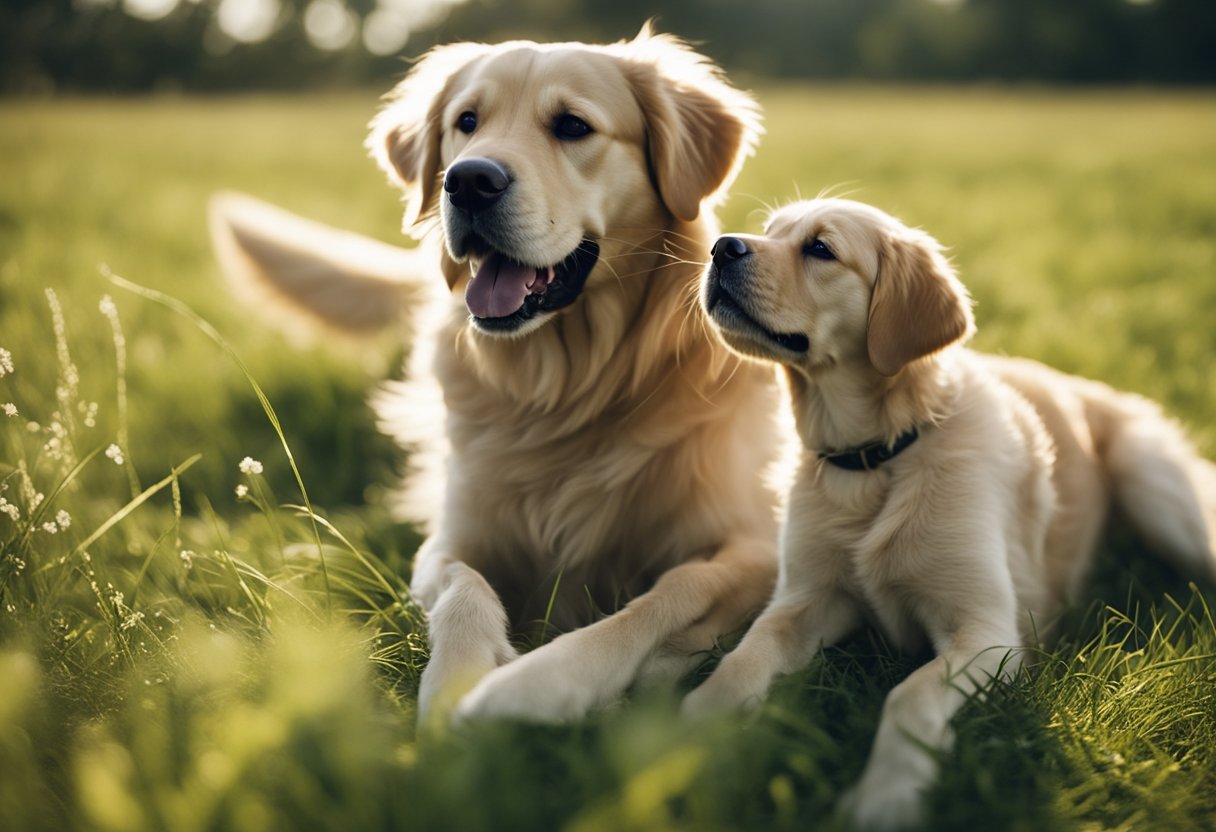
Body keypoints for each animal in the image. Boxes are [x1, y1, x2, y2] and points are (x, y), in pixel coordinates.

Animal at [207, 27, 778, 720]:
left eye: (572, 125)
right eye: (467, 123)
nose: (469, 181)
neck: (569, 388)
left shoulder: (756, 544)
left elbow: (669, 592)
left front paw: (541, 679)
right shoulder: (452, 538)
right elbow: (464, 587)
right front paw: (457, 679)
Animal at [685, 198, 1216, 827]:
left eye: (820, 248)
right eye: (769, 231)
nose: (721, 247)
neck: (878, 458)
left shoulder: (986, 633)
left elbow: (908, 694)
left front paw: (886, 794)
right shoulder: (804, 598)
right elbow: (743, 658)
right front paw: (686, 734)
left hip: (1153, 483)